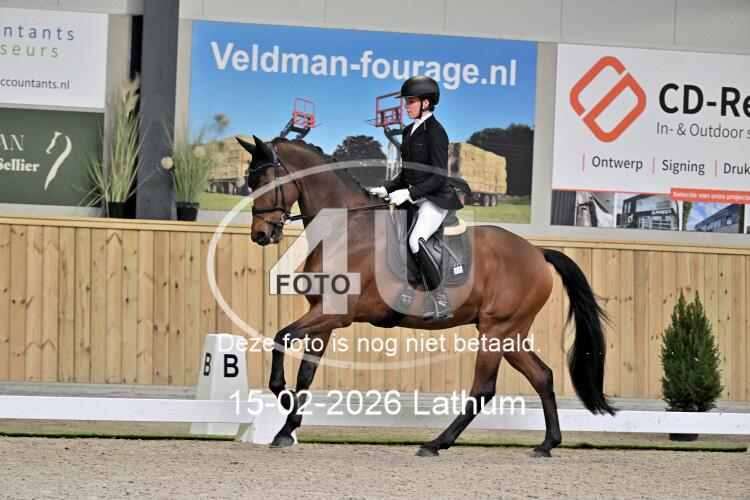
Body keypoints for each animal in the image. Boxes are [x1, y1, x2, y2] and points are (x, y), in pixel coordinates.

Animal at [236, 135, 616, 458]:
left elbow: (281, 338)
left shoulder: (336, 315)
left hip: (495, 332)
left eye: (267, 182)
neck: (344, 229)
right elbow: (305, 373)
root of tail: (537, 253)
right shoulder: (324, 316)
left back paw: (436, 443)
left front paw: (281, 395)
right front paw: (287, 428)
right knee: (542, 376)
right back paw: (547, 444)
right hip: (512, 334)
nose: (260, 235)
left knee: (483, 389)